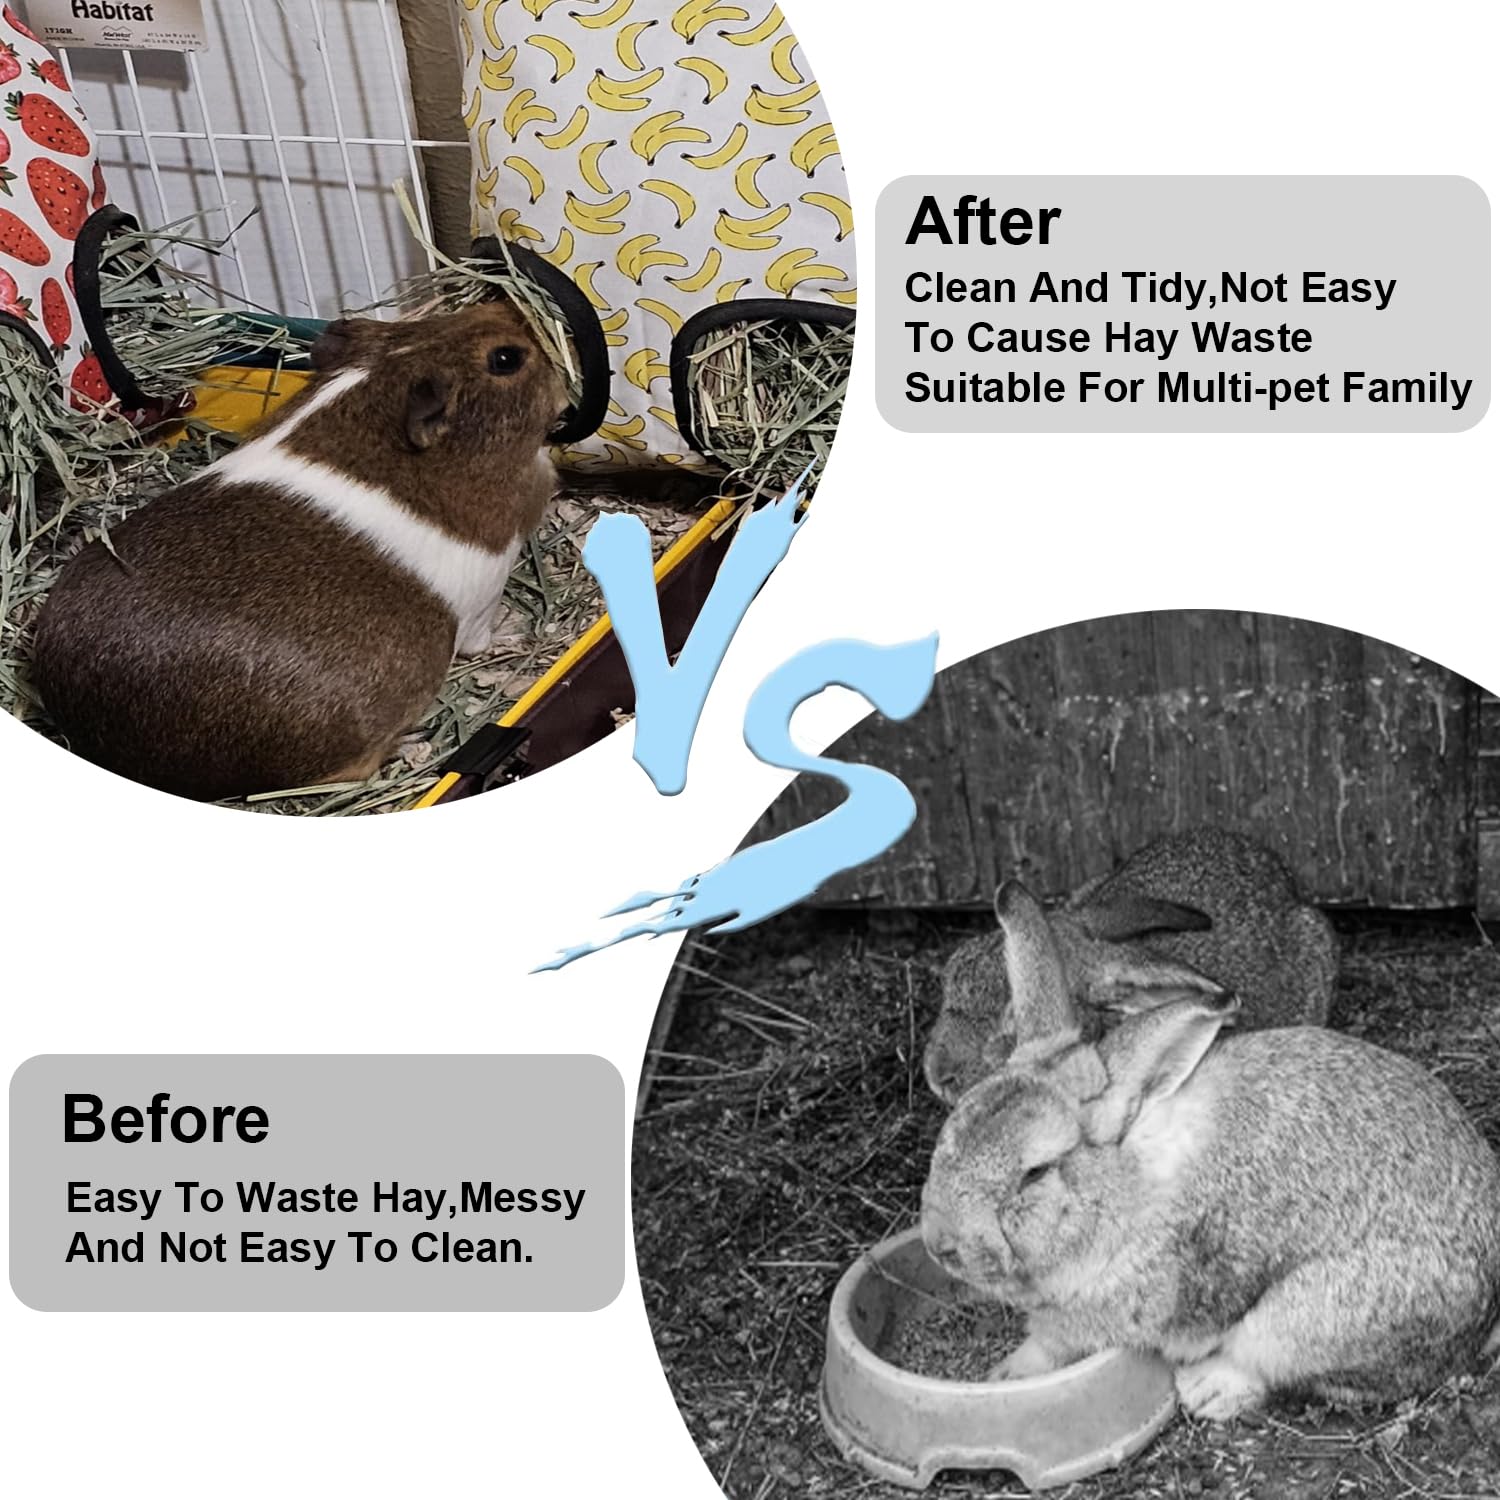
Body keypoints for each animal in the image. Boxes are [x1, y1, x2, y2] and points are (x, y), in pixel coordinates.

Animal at [920, 879, 1500, 1420]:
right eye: (958, 1119)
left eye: (1035, 1173)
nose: (939, 1243)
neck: (1124, 1186)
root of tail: (1484, 1311)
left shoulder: (1100, 1317)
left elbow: (1051, 1346)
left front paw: (1005, 1374)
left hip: (1306, 1321)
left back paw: (1207, 1389)